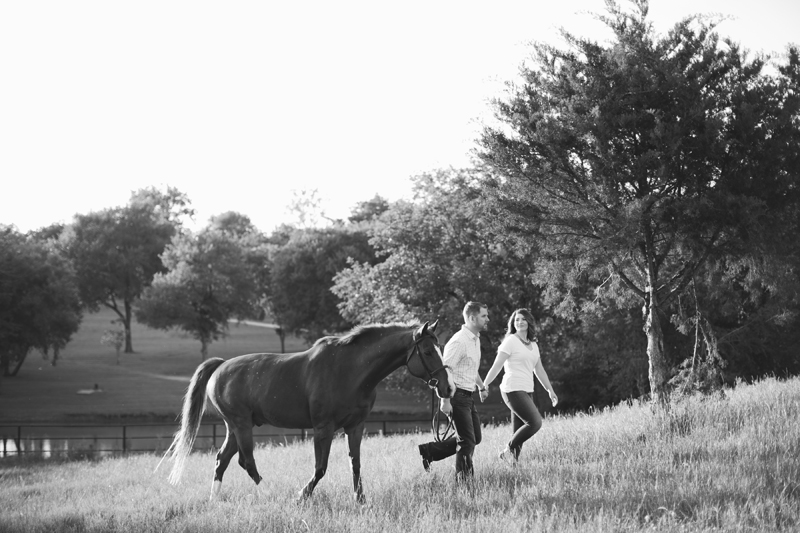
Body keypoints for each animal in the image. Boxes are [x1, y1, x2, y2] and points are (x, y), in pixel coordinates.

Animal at [157, 320, 454, 502]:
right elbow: (320, 468)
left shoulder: (355, 427)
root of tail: (220, 366)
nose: (448, 388)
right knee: (246, 461)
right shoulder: (323, 429)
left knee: (222, 459)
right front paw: (301, 496)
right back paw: (271, 493)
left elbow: (355, 464)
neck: (350, 370)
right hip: (240, 425)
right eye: (428, 351)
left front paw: (361, 500)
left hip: (236, 427)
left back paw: (214, 498)